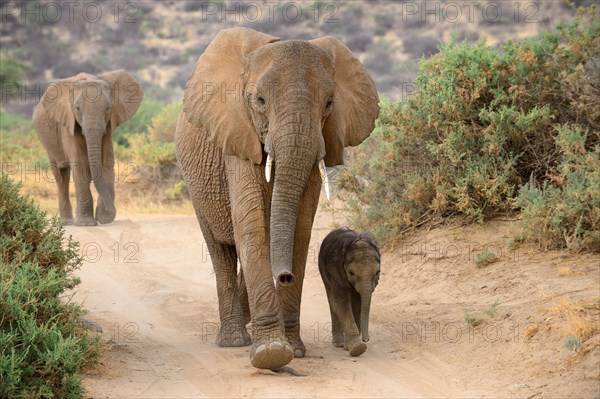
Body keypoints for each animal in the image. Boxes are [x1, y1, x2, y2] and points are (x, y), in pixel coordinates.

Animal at [33, 70, 143, 227]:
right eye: (77, 108)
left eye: (108, 108)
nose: (112, 211)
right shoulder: (68, 123)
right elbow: (81, 166)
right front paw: (86, 223)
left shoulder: (108, 126)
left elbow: (106, 163)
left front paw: (104, 218)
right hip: (48, 143)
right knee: (61, 175)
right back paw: (67, 222)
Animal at [318, 228, 380, 356]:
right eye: (351, 273)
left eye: (378, 273)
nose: (366, 339)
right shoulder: (336, 270)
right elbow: (340, 301)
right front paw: (358, 349)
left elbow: (358, 303)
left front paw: (351, 347)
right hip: (322, 268)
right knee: (331, 300)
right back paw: (338, 344)